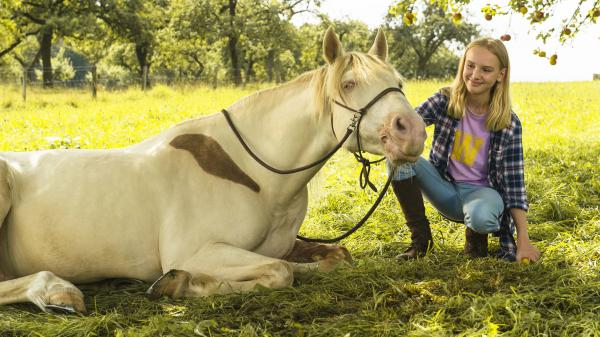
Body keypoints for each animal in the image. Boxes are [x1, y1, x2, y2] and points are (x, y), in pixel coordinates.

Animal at [0, 27, 426, 314]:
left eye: (399, 82)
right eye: (349, 84)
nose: (412, 131)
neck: (253, 174)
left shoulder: (284, 245)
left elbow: (330, 258)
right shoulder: (197, 251)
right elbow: (279, 272)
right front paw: (180, 284)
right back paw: (56, 291)